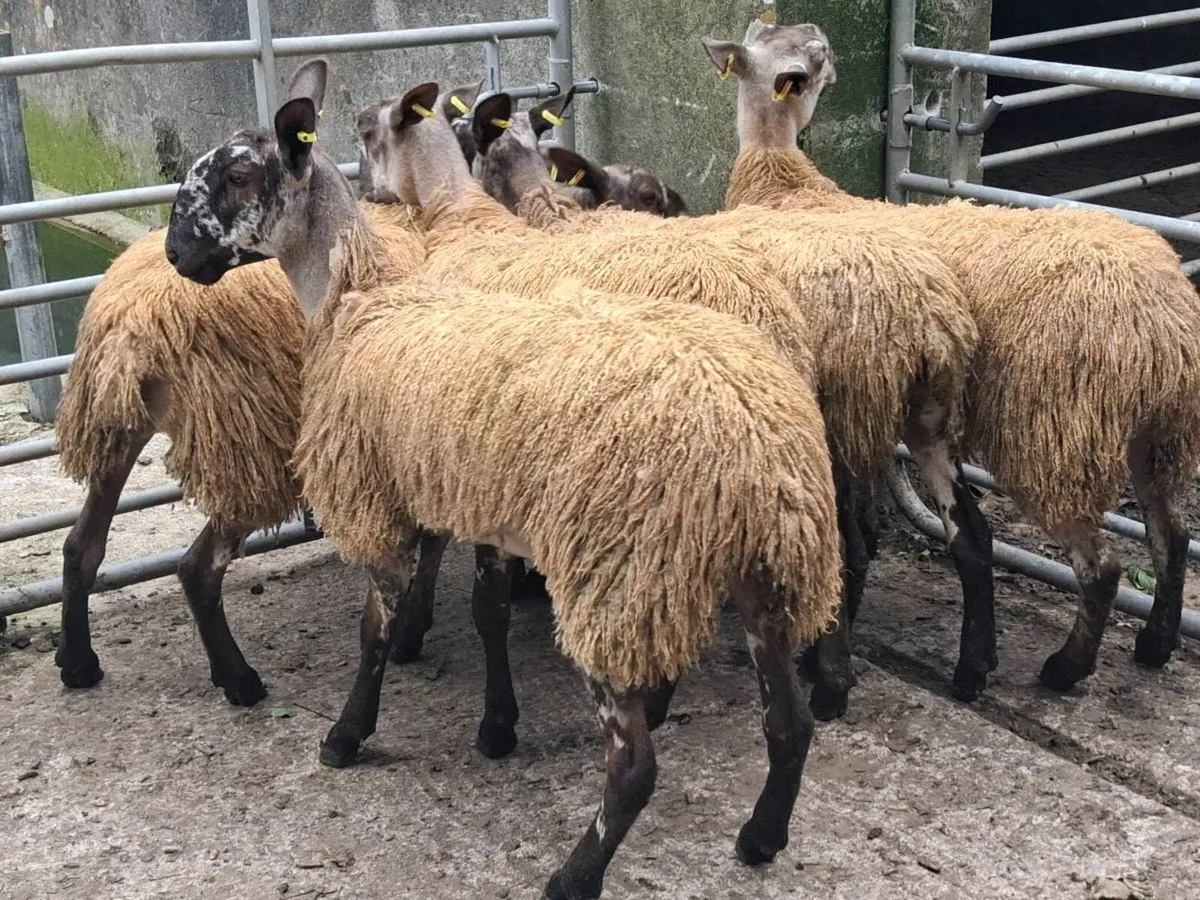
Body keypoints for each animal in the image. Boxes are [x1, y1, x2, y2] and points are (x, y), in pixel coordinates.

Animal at [52, 61, 453, 705]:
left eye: (238, 175)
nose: (178, 252)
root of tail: (128, 326)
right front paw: (415, 629)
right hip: (246, 444)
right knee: (197, 566)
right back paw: (238, 679)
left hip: (118, 428)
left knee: (81, 545)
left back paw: (78, 663)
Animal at [162, 63, 843, 895]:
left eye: (235, 176)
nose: (176, 252)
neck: (360, 296)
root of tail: (758, 447)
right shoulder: (472, 501)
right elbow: (482, 612)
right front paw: (492, 724)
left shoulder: (379, 498)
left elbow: (373, 632)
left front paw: (347, 735)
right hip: (764, 579)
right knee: (788, 724)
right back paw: (761, 836)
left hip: (617, 576)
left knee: (635, 766)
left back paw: (574, 876)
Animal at [462, 90, 987, 719]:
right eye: (653, 196)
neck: (550, 214)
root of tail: (923, 319)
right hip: (919, 420)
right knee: (959, 533)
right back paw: (960, 671)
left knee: (844, 546)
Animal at [704, 18, 1200, 690]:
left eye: (820, 49)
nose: (832, 56)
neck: (783, 179)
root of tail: (1162, 317)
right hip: (1153, 433)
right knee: (1169, 536)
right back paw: (1141, 646)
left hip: (1053, 433)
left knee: (1100, 566)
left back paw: (1064, 668)